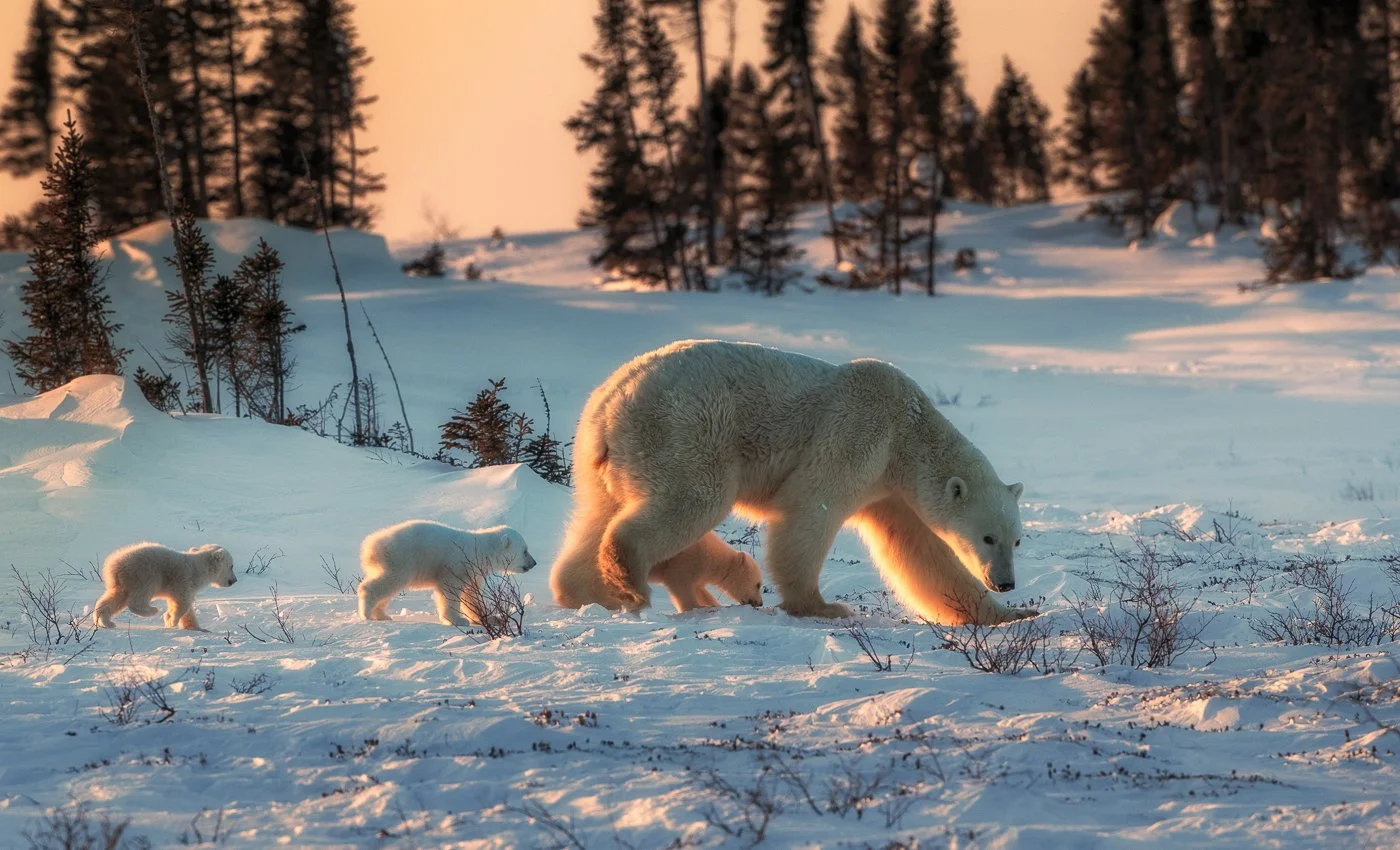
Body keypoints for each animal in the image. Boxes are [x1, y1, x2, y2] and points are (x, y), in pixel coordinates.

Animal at [93, 542, 237, 631]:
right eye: (231, 566)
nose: (234, 580)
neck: (198, 569)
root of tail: (114, 564)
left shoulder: (188, 586)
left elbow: (187, 609)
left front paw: (197, 628)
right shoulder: (183, 581)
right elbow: (182, 603)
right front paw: (170, 620)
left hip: (124, 582)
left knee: (114, 598)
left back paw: (105, 621)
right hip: (145, 573)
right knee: (139, 596)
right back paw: (152, 610)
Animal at [357, 520, 537, 626]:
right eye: (525, 550)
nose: (534, 563)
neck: (480, 551)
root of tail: (371, 545)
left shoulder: (474, 572)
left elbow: (472, 596)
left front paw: (491, 619)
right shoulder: (456, 565)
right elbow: (450, 590)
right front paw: (457, 620)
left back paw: (382, 615)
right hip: (402, 558)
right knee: (388, 582)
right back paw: (367, 613)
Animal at [552, 530, 763, 614]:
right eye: (759, 584)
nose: (760, 603)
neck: (708, 553)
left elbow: (699, 588)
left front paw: (712, 604)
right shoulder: (683, 561)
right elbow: (680, 585)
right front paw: (693, 607)